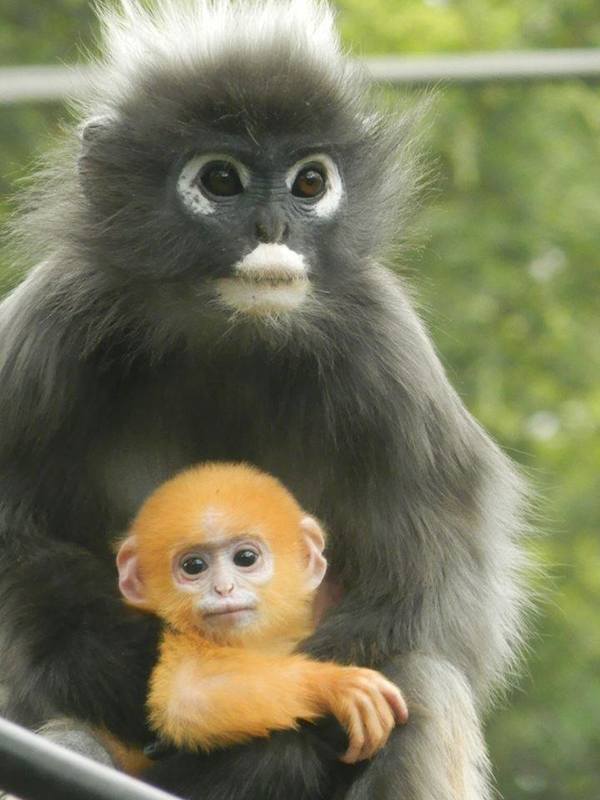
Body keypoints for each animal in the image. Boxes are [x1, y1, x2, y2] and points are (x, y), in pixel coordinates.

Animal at [116, 466, 408, 764]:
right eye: (193, 565)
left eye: (246, 558)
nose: (224, 588)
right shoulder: (181, 640)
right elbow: (187, 693)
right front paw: (335, 684)